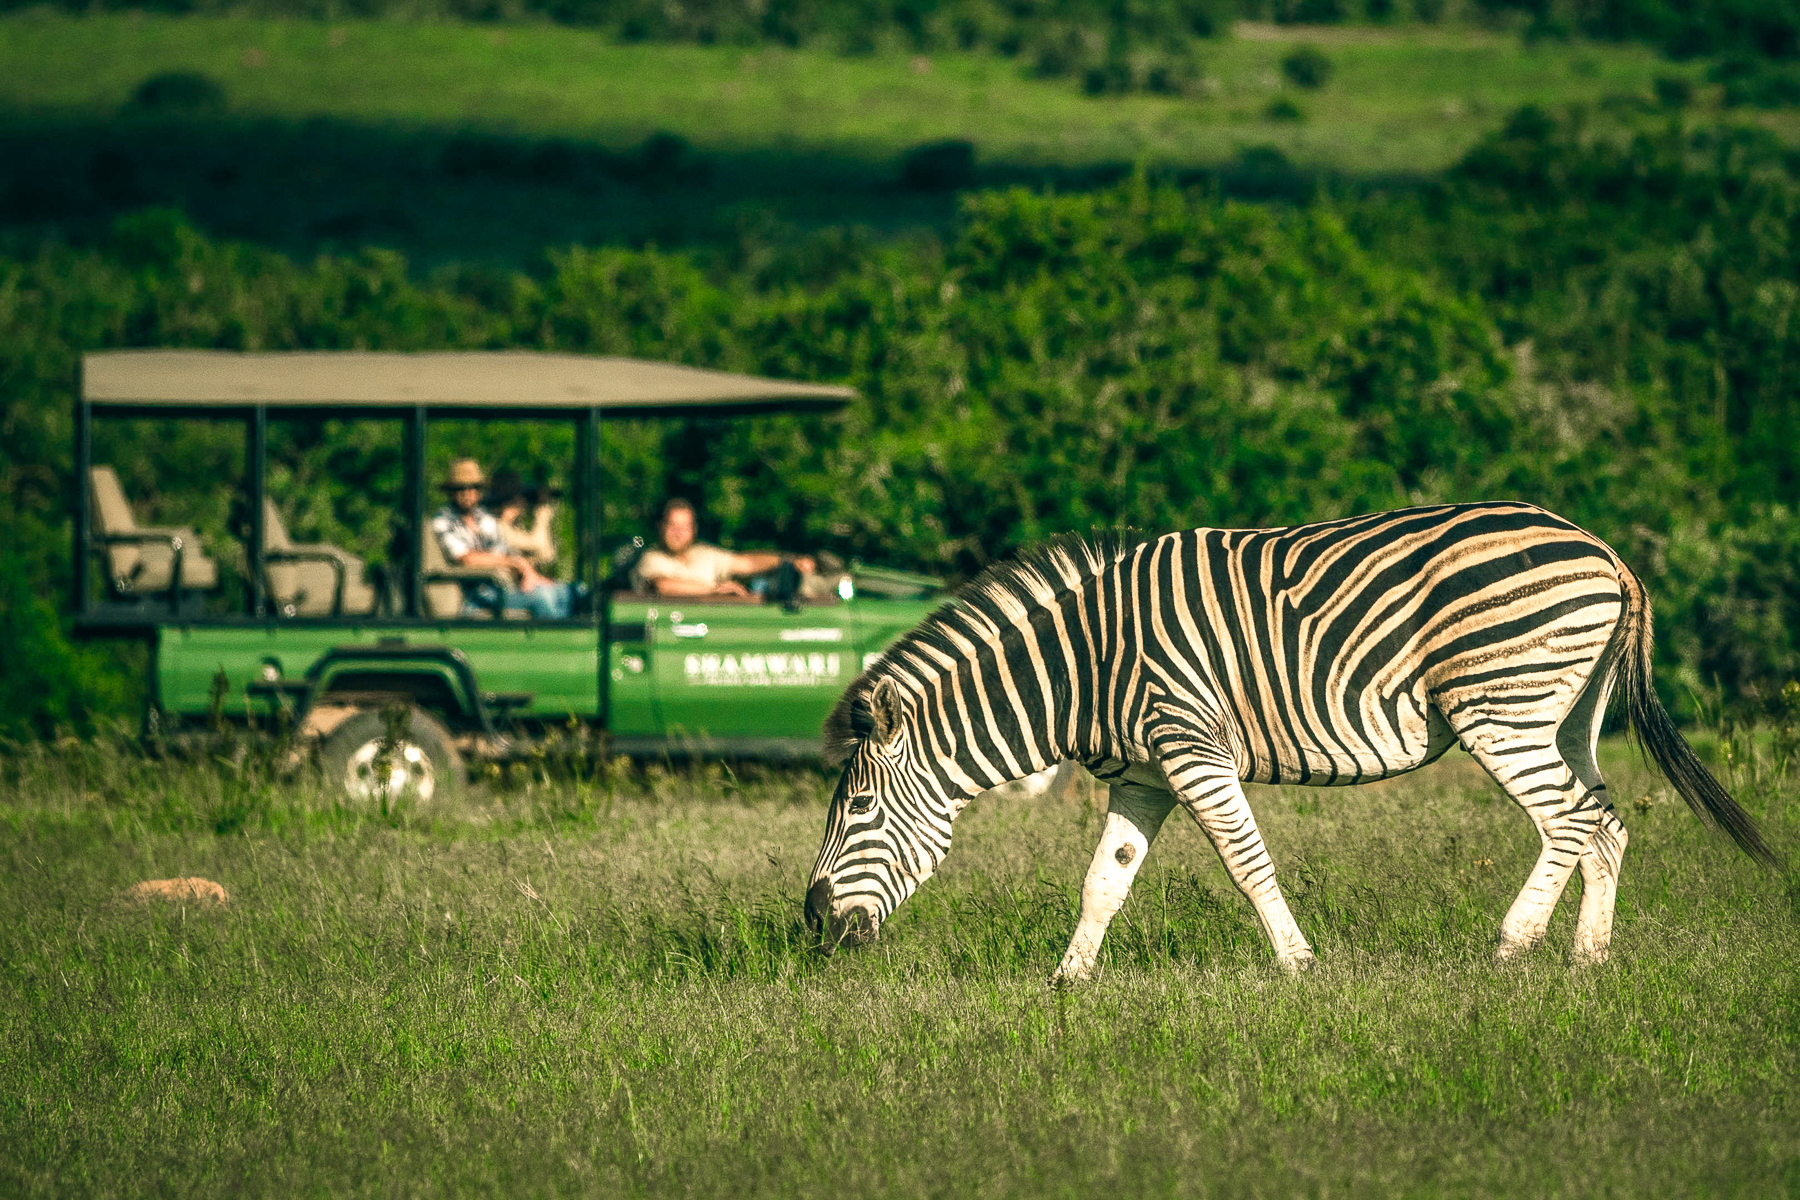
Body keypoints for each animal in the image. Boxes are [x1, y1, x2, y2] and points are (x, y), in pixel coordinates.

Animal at [805, 502, 1781, 980]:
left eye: (856, 809)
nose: (809, 924)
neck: (1083, 668)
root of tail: (1601, 548)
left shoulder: (1189, 744)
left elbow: (1246, 862)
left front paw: (1298, 967)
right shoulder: (1145, 774)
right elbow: (1103, 880)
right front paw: (1068, 984)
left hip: (1500, 708)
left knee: (1569, 822)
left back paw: (1511, 949)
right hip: (1566, 714)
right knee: (1606, 825)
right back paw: (1587, 960)